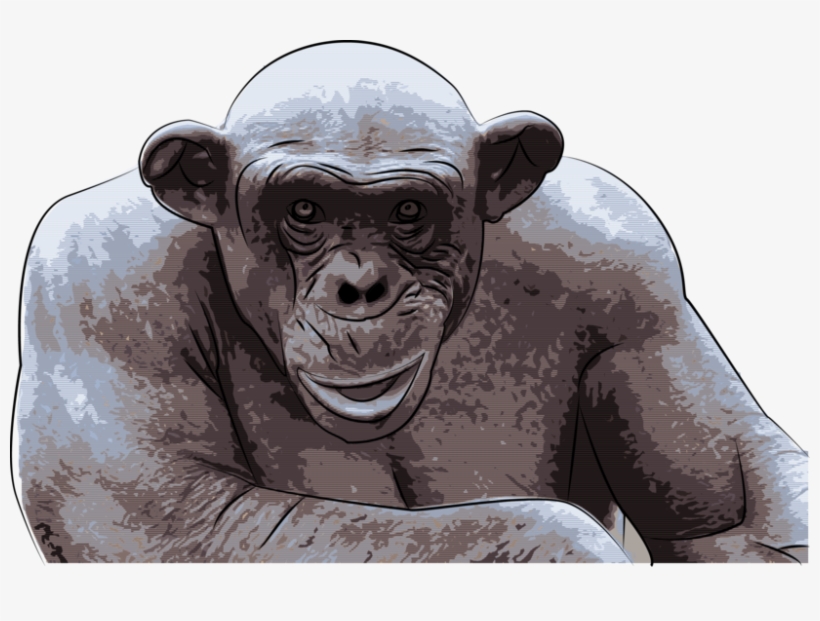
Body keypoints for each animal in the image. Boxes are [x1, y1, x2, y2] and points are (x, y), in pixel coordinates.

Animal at [13, 41, 807, 562]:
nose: (361, 286)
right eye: (304, 209)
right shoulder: (96, 287)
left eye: (407, 212)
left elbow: (734, 523)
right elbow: (176, 521)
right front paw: (561, 548)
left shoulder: (634, 271)